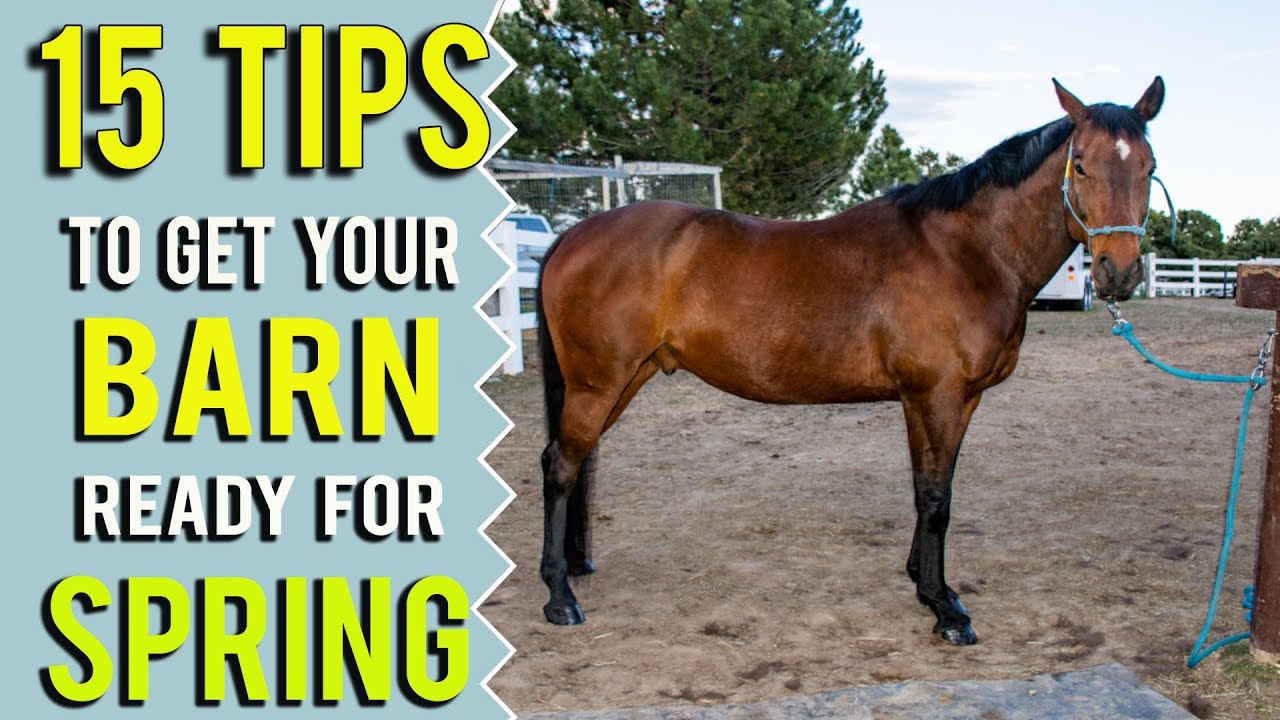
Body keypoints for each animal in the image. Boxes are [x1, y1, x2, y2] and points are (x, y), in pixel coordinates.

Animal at [533, 77, 1165, 645]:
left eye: (1148, 166)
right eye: (1080, 165)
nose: (1118, 271)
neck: (966, 252)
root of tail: (571, 236)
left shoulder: (954, 400)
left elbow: (936, 487)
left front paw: (926, 583)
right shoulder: (934, 395)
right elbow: (934, 498)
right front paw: (944, 610)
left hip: (621, 381)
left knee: (579, 462)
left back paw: (575, 568)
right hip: (597, 384)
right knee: (560, 466)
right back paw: (560, 597)